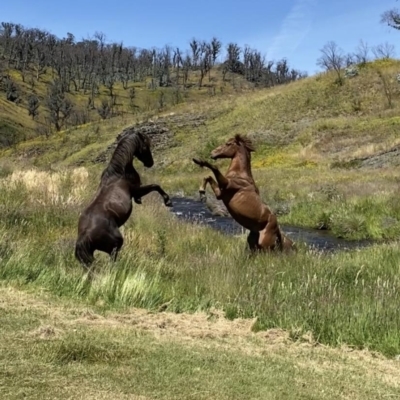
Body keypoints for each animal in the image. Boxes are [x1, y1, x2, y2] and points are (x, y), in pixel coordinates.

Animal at [75, 130, 172, 268]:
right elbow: (155, 186)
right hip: (116, 243)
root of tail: (84, 236)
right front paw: (168, 201)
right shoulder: (136, 190)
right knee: (112, 260)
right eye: (145, 146)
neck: (120, 171)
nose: (150, 163)